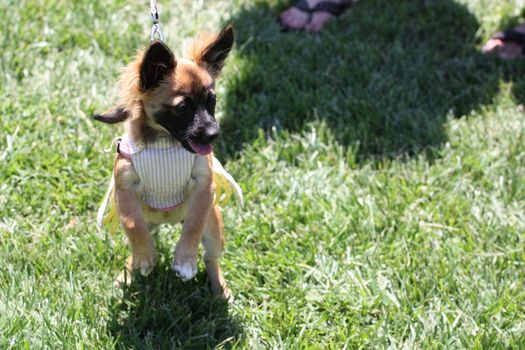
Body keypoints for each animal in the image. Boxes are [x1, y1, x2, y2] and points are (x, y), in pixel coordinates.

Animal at [94, 25, 239, 298]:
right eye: (182, 107)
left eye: (212, 101)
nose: (214, 134)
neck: (164, 143)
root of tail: (169, 221)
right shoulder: (124, 189)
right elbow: (132, 224)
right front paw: (146, 257)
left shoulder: (204, 188)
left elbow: (194, 224)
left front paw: (185, 259)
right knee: (134, 241)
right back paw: (127, 273)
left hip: (214, 226)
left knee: (211, 257)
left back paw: (218, 288)